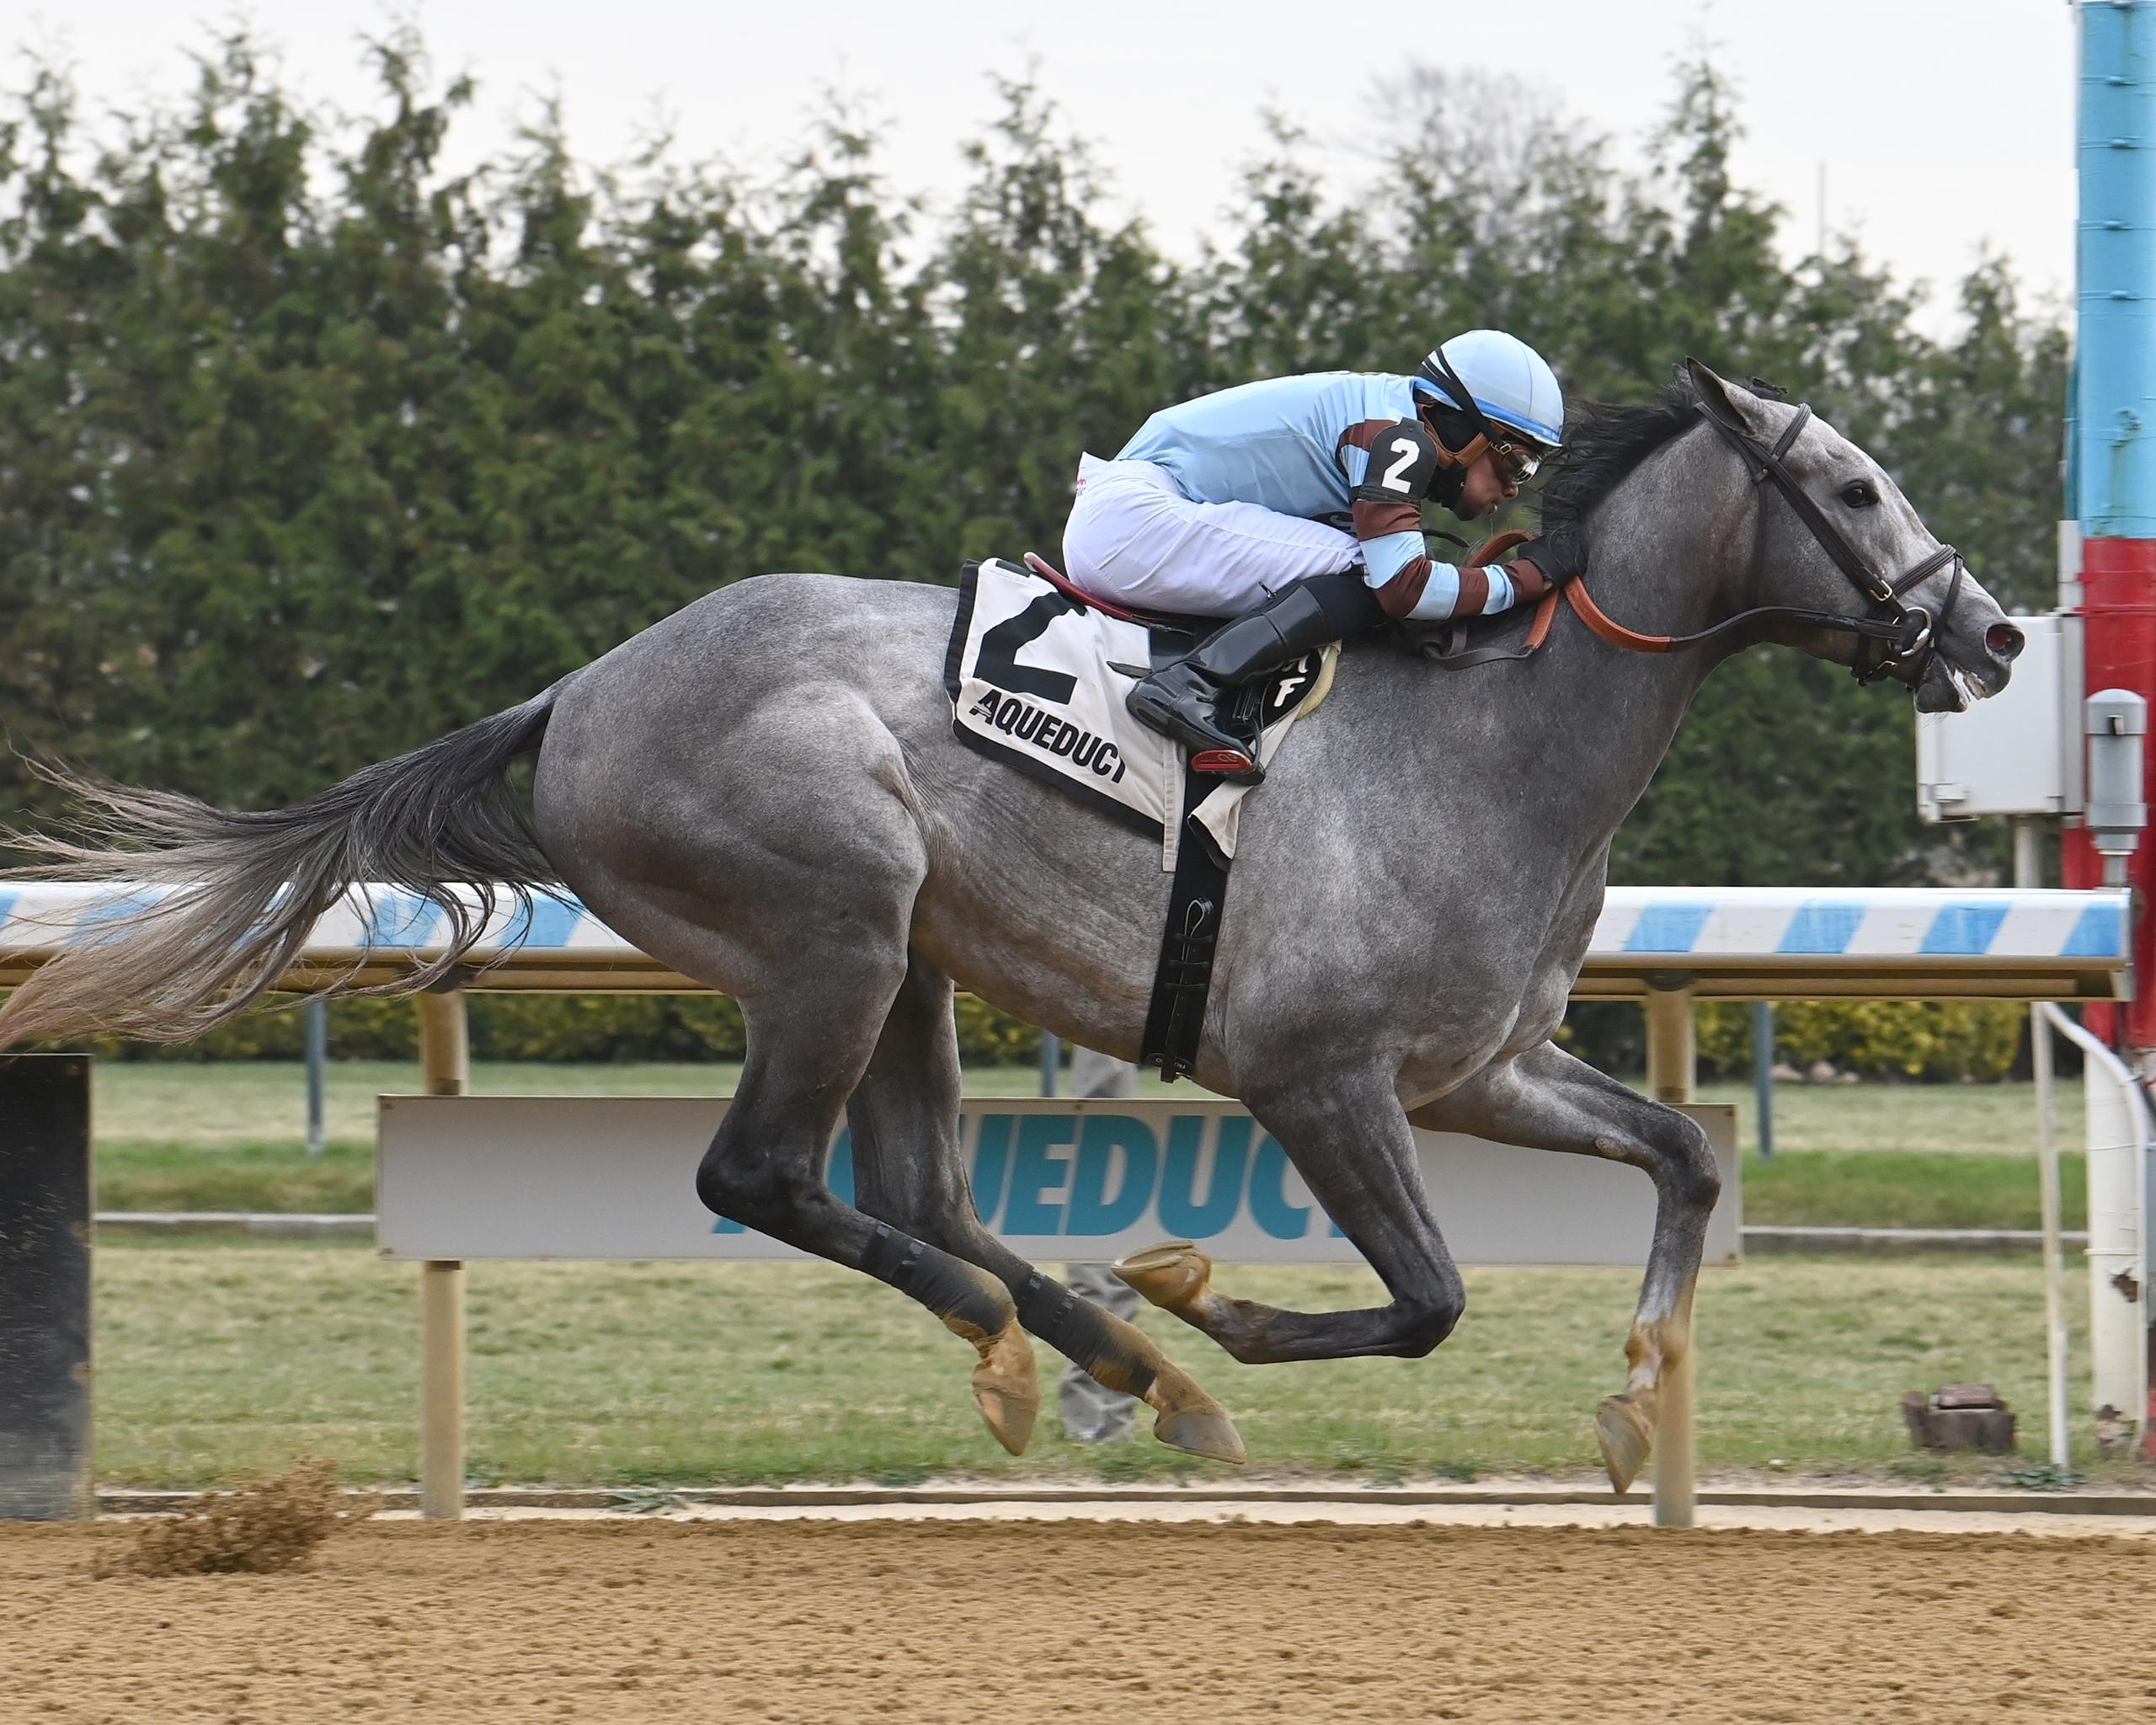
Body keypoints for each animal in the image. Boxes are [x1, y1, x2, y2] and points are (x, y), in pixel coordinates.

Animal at [0, 361, 2022, 1487]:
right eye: (1852, 486)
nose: (1991, 630)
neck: (1487, 739)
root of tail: (576, 692)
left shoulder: (1478, 1069)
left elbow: (1684, 1153)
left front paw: (1631, 1395)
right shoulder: (1316, 1075)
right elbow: (1428, 1299)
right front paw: (1218, 1300)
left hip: (911, 963)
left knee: (913, 1190)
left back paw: (1115, 1362)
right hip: (835, 918)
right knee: (768, 1178)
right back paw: (1074, 1343)